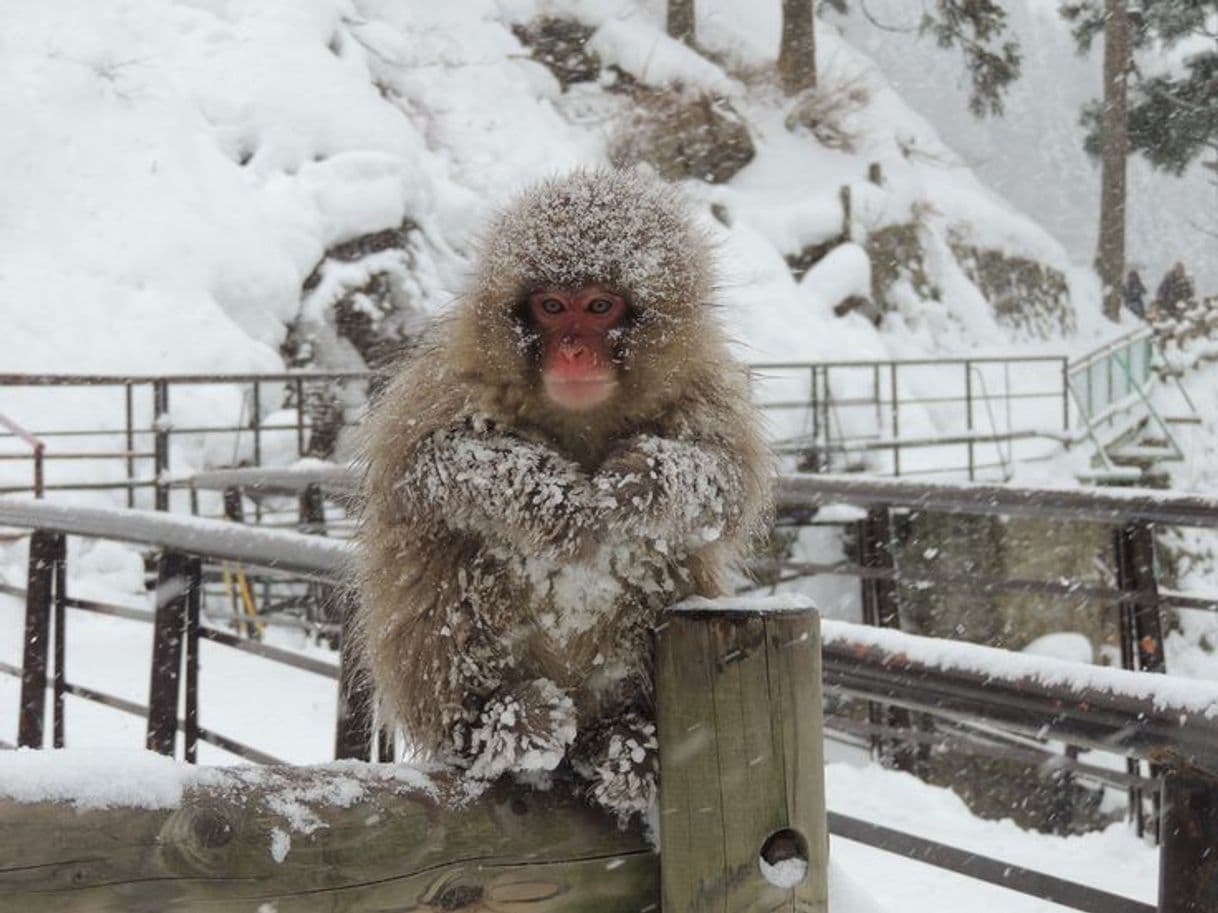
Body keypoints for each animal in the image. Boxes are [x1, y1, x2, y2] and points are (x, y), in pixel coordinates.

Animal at [353, 167, 769, 818]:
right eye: (551, 307)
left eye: (599, 306)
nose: (573, 350)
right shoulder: (445, 382)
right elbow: (424, 465)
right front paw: (558, 501)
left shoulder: (708, 387)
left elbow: (728, 482)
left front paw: (636, 484)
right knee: (450, 568)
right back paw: (497, 726)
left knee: (662, 559)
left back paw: (621, 741)